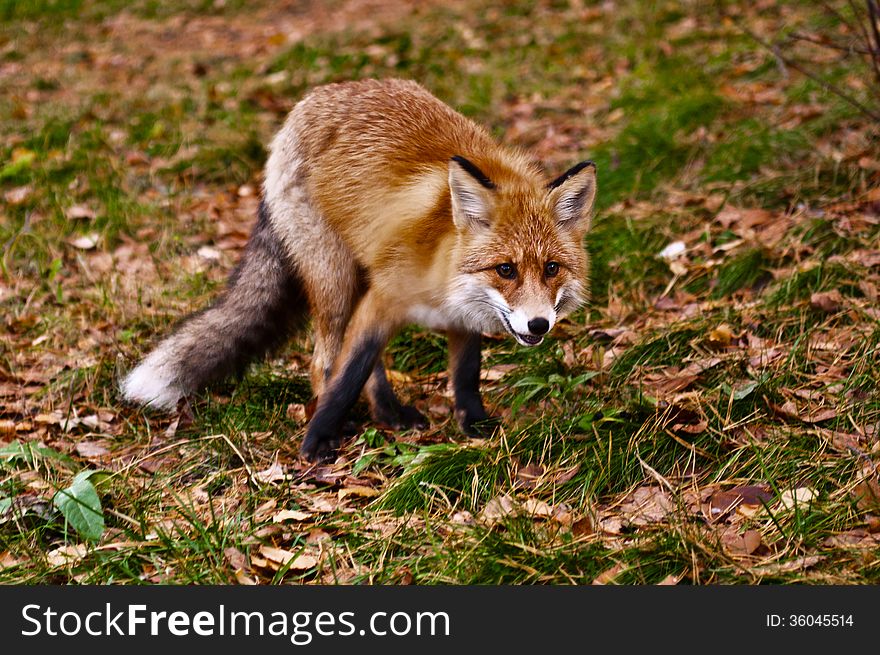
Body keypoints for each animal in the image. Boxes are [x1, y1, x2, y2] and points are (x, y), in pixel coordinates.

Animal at [120, 78, 596, 462]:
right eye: (506, 269)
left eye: (551, 268)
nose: (539, 324)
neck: (443, 264)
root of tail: (313, 98)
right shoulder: (385, 297)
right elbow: (349, 374)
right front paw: (316, 440)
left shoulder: (460, 315)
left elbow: (465, 374)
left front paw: (473, 422)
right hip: (336, 280)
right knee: (323, 362)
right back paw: (344, 419)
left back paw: (387, 412)